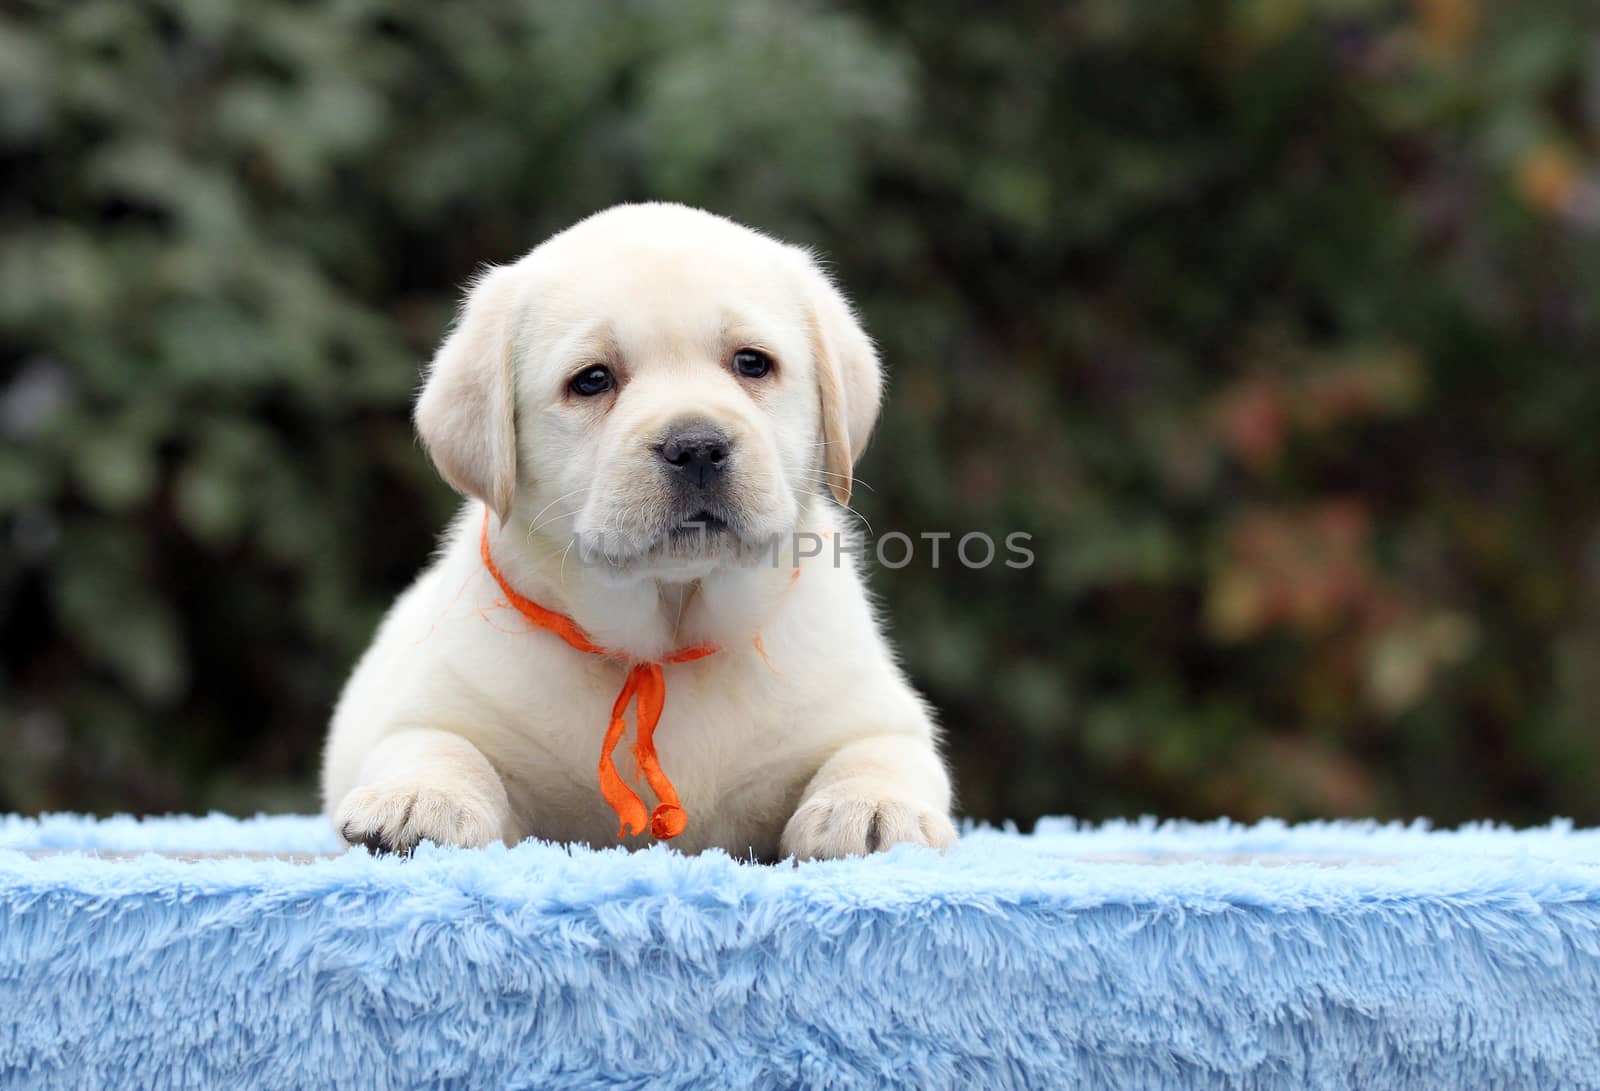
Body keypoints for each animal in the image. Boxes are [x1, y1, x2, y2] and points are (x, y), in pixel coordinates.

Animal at [318, 201, 953, 857]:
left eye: (752, 362)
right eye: (593, 380)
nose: (696, 447)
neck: (666, 641)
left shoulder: (871, 711)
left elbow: (877, 755)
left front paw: (873, 809)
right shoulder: (441, 706)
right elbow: (439, 745)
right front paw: (418, 800)